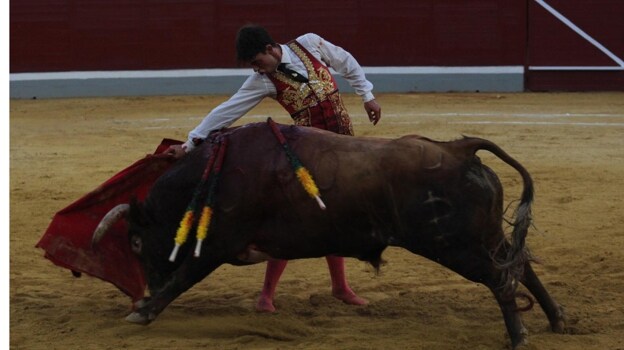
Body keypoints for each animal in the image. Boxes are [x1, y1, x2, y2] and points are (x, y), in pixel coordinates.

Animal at [91, 120, 564, 348]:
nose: (145, 288)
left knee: (501, 278)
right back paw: (556, 320)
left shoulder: (218, 243)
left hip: (456, 245)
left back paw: (519, 336)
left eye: (136, 241)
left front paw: (144, 311)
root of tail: (460, 149)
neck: (211, 175)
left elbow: (184, 276)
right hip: (485, 238)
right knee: (520, 266)